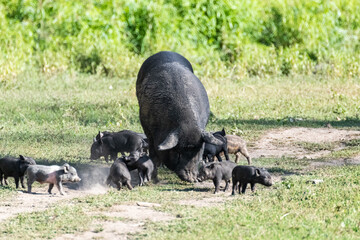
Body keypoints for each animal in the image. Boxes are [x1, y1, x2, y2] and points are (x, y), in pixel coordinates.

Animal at [136, 51, 221, 182]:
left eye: (198, 152)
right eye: (178, 152)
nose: (191, 178)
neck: (186, 122)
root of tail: (165, 51)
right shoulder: (148, 130)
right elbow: (153, 152)